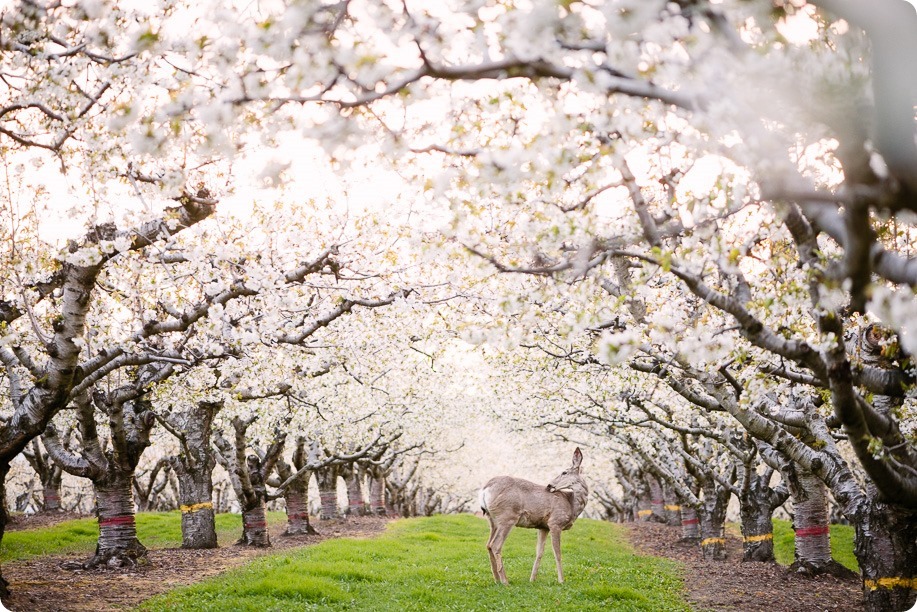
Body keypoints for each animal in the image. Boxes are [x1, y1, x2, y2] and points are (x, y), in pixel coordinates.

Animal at [480, 448, 588, 584]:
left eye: (564, 472)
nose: (549, 485)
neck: (571, 504)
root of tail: (485, 489)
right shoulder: (555, 522)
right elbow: (557, 553)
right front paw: (561, 580)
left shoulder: (543, 527)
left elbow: (539, 553)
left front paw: (532, 579)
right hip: (508, 516)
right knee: (495, 545)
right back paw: (505, 581)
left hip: (492, 520)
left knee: (488, 545)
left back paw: (497, 579)